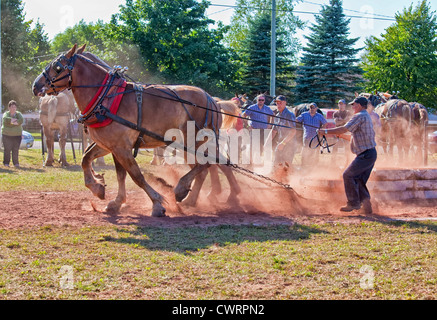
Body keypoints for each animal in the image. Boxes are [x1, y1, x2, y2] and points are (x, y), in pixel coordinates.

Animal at [32, 43, 240, 216]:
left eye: (57, 67)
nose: (36, 85)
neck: (106, 98)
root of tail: (212, 99)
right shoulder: (111, 146)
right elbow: (93, 162)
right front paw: (105, 194)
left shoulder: (121, 148)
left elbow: (136, 175)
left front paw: (157, 203)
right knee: (209, 166)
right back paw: (199, 198)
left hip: (195, 141)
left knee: (207, 165)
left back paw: (183, 191)